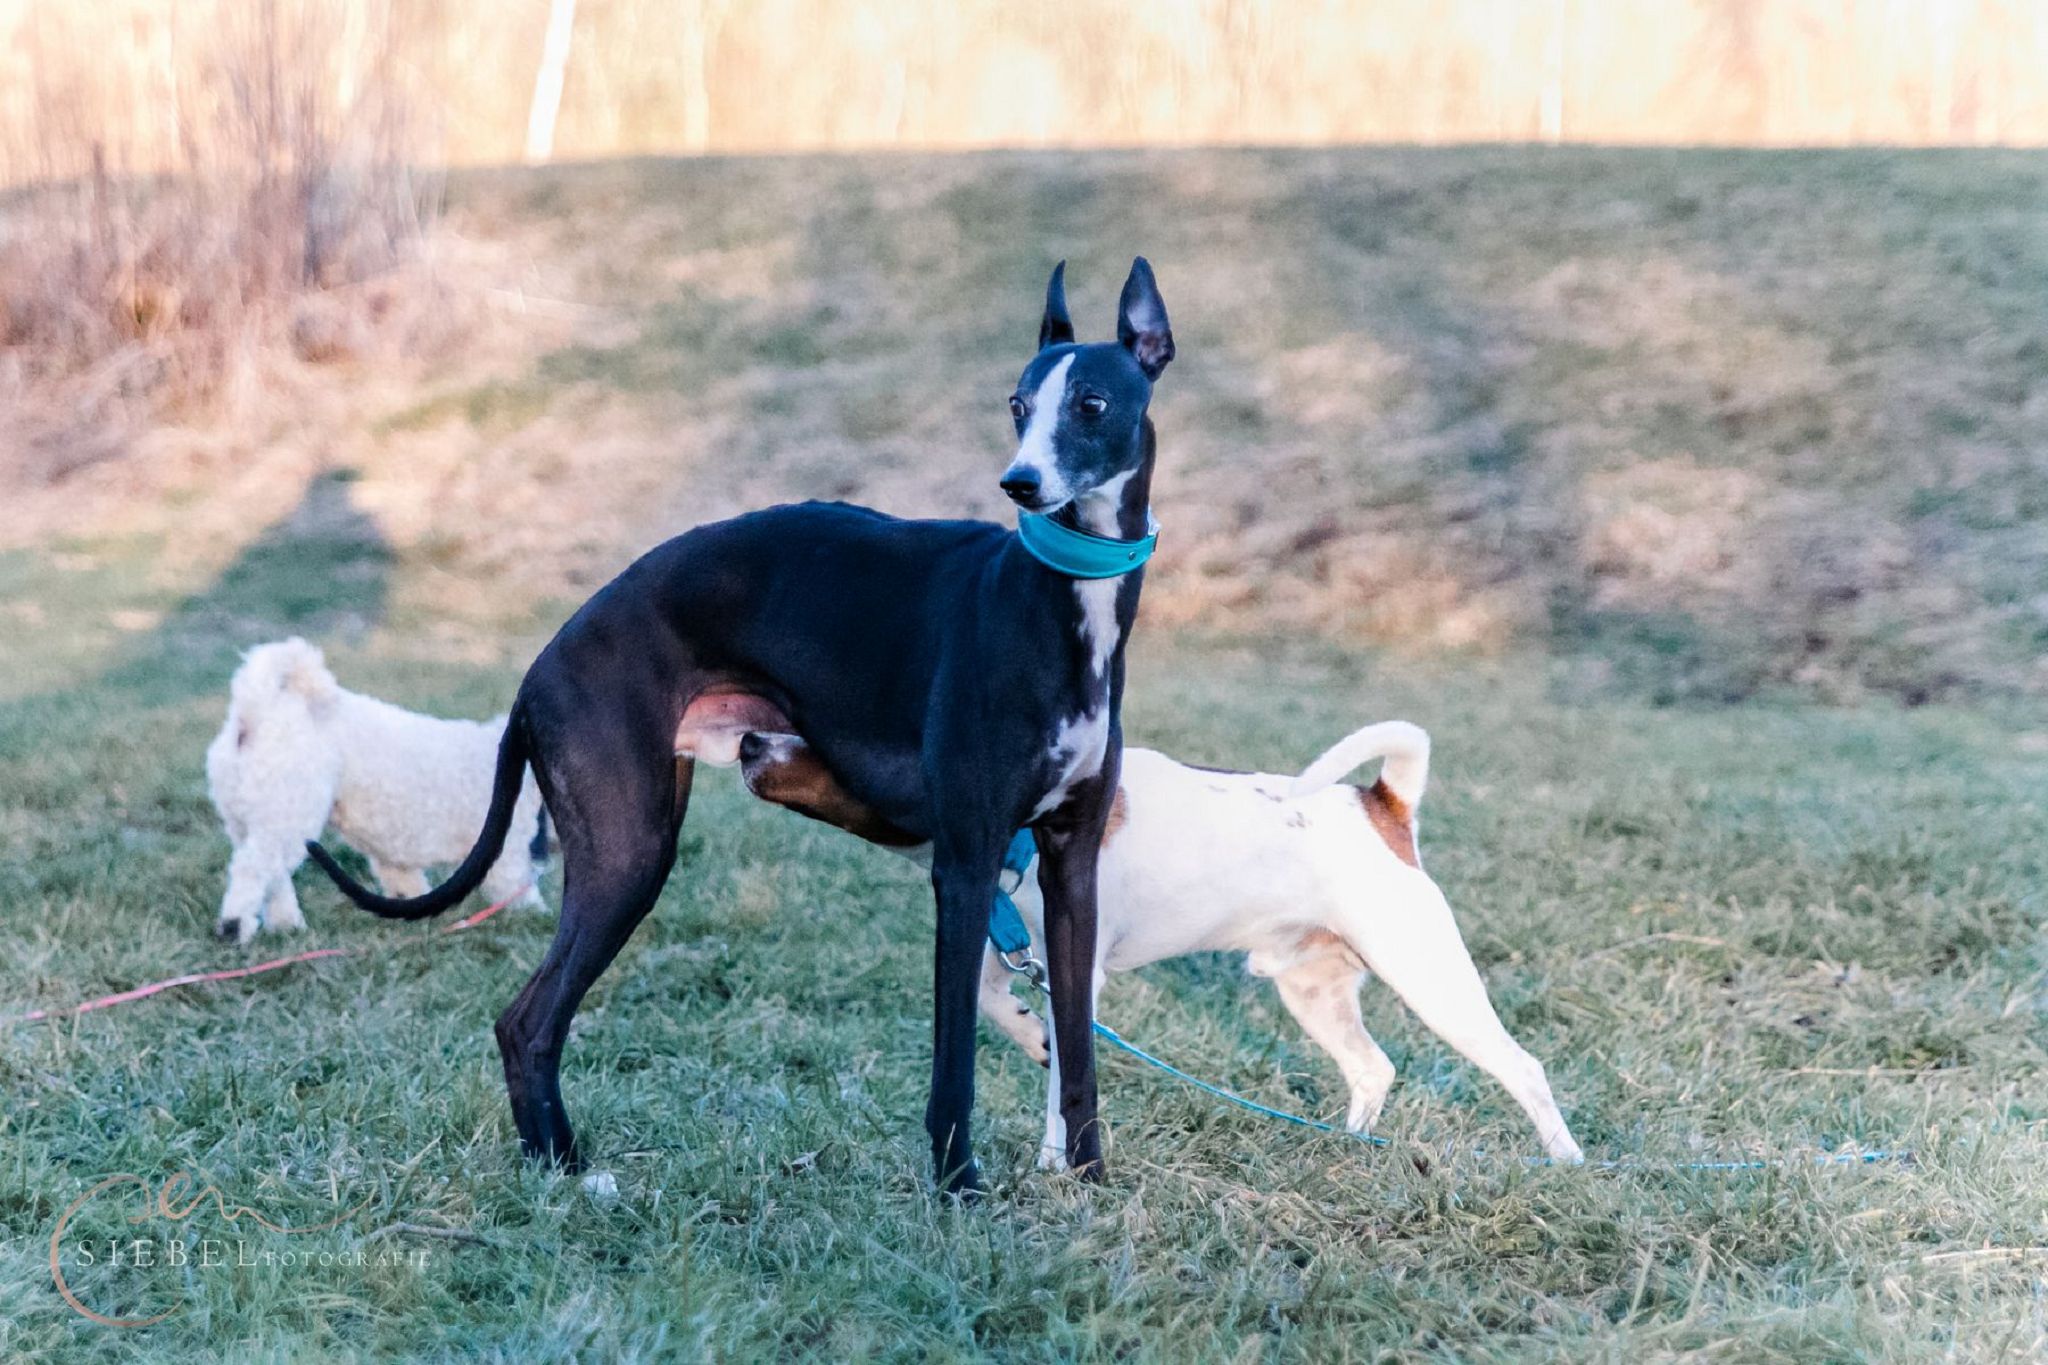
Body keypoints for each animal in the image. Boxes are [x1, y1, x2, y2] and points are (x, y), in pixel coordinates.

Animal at [205, 638, 552, 945]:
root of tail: (256, 712)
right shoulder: (506, 853)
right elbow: (518, 891)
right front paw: (537, 918)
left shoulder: (394, 859)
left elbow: (407, 887)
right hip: (287, 813)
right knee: (252, 868)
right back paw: (234, 926)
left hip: (254, 819)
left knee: (270, 874)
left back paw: (286, 925)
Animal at [301, 258, 1171, 1195]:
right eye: (1017, 404)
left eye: (1091, 403)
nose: (1020, 484)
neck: (1059, 603)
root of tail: (538, 669)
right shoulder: (966, 863)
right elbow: (954, 1061)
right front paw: (959, 1185)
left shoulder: (1070, 863)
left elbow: (1076, 1049)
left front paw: (1088, 1179)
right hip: (629, 851)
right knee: (526, 1020)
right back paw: (569, 1172)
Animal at [737, 724, 1581, 1162]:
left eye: (831, 736)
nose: (746, 738)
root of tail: (1381, 804)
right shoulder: (1006, 951)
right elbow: (997, 1004)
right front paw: (1033, 1038)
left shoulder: (1076, 968)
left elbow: (1064, 1086)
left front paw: (1056, 1165)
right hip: (1312, 990)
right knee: (1373, 1067)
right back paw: (1348, 1146)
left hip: (1431, 981)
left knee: (1524, 1068)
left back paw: (1565, 1161)